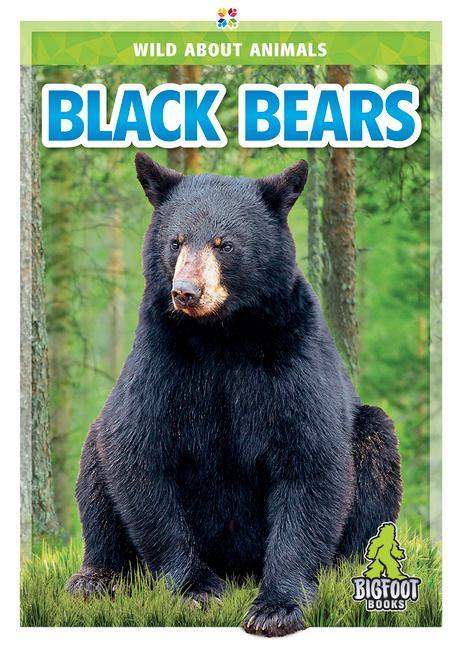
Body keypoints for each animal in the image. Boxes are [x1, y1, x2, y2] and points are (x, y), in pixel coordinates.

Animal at [66, 153, 402, 637]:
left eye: (224, 244)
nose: (186, 292)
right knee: (96, 465)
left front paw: (276, 608)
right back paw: (97, 577)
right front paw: (198, 590)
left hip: (368, 437)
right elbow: (140, 455)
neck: (222, 335)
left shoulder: (291, 355)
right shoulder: (161, 358)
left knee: (376, 451)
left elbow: (309, 461)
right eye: (175, 242)